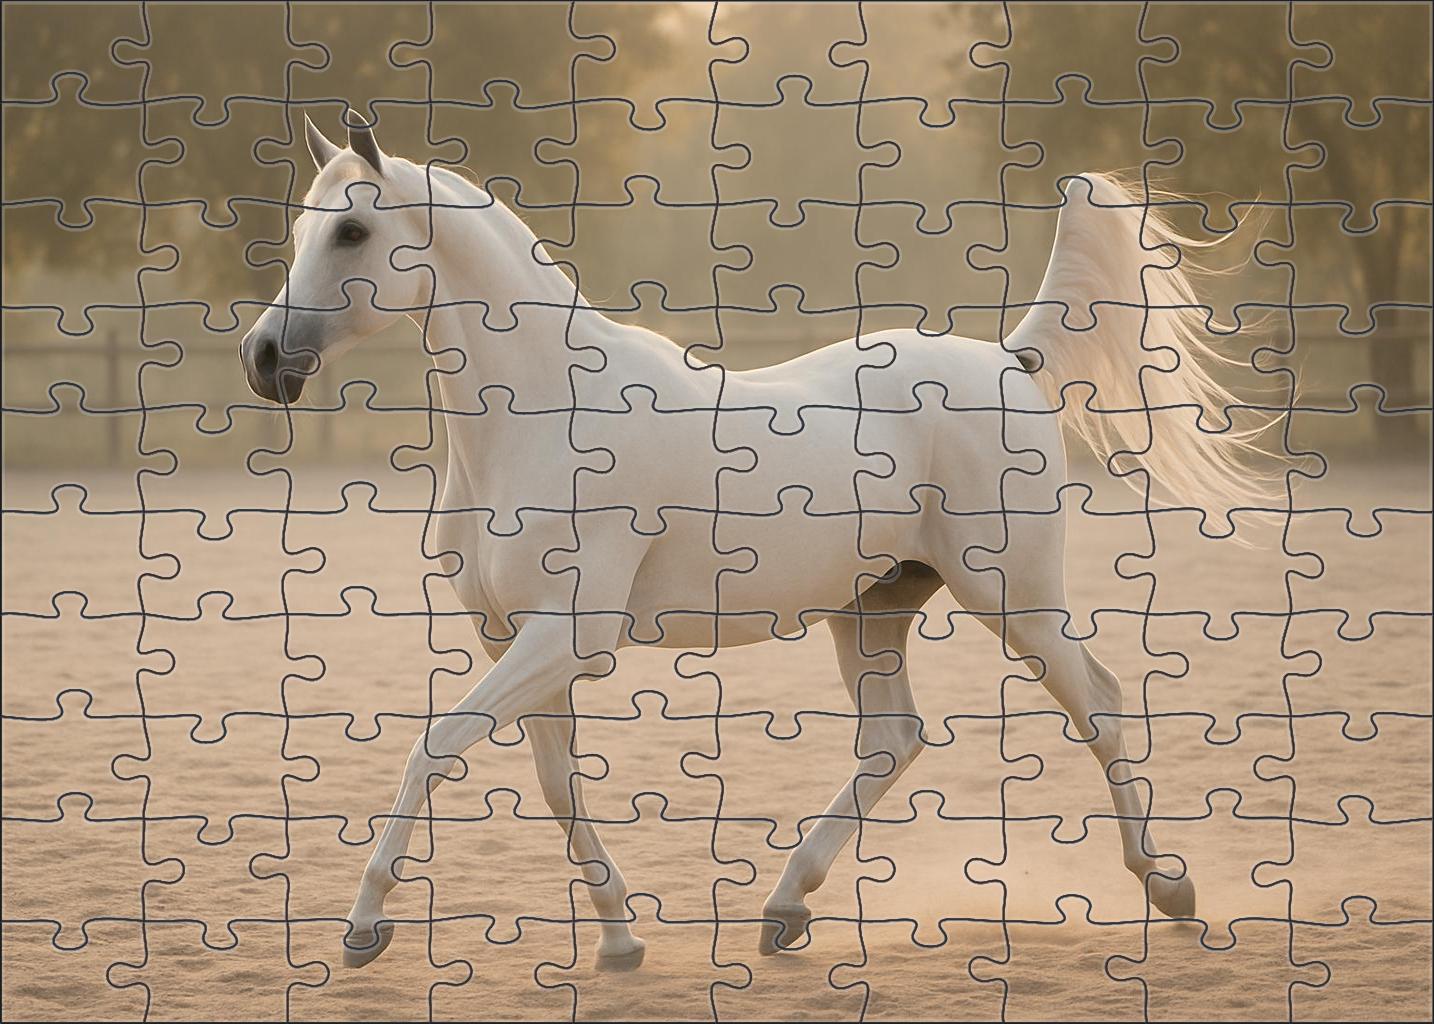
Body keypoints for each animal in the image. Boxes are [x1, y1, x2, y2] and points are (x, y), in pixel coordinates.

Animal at [240, 114, 1268, 970]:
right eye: (302, 230)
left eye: (352, 232)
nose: (262, 360)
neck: (540, 418)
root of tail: (1007, 361)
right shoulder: (515, 643)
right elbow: (555, 784)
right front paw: (619, 940)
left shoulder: (565, 638)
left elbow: (433, 747)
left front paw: (363, 926)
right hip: (875, 607)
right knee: (894, 741)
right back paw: (785, 908)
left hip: (1012, 597)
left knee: (1101, 704)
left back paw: (1170, 888)